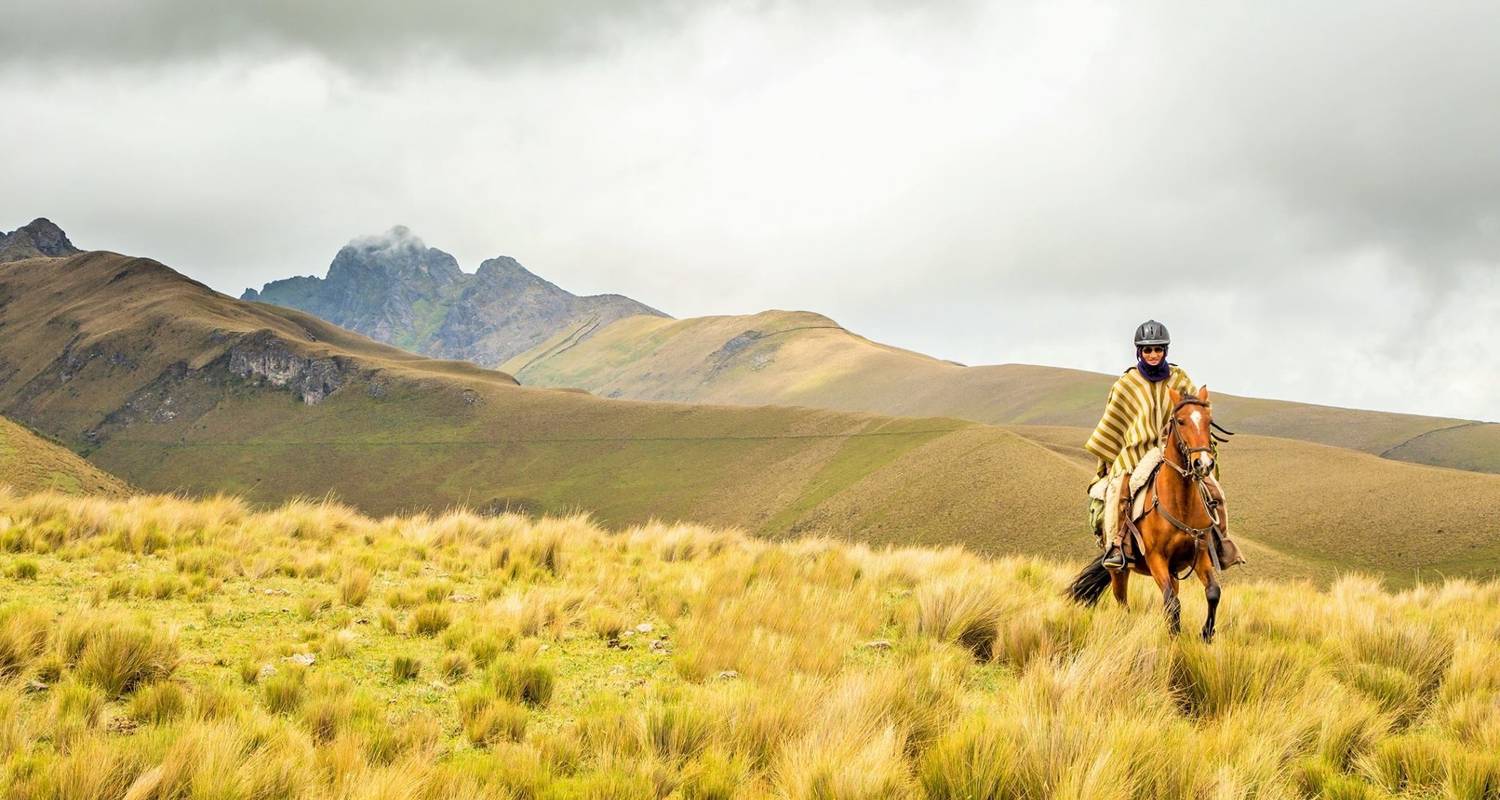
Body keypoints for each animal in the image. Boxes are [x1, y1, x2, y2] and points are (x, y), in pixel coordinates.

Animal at [1062, 384, 1224, 639]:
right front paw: (1175, 638)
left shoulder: (1199, 555)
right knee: (1122, 601)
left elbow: (1212, 592)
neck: (1180, 504)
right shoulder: (1156, 558)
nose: (1204, 464)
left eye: (1209, 421)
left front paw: (1206, 634)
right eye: (1181, 421)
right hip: (1119, 570)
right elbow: (1172, 603)